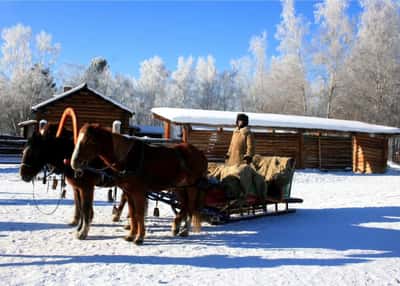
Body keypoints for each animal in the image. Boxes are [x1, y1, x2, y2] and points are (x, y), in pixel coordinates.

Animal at [71, 122, 208, 245]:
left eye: (89, 141)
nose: (74, 162)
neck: (128, 158)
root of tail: (199, 153)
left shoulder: (138, 192)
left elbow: (139, 214)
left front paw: (139, 237)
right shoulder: (128, 192)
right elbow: (133, 214)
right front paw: (131, 235)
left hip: (192, 187)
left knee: (190, 206)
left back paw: (185, 230)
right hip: (179, 187)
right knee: (185, 205)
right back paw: (176, 226)